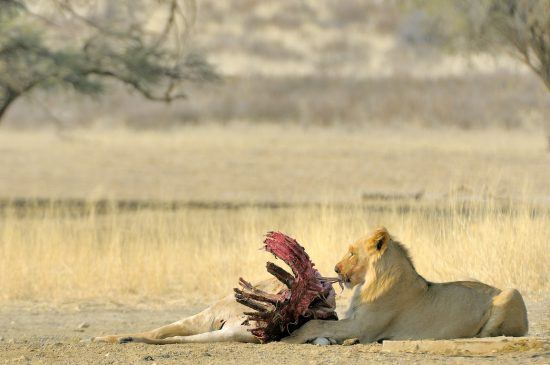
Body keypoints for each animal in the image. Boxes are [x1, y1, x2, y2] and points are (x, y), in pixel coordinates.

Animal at [94, 228, 532, 344]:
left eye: (351, 252)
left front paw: (294, 335)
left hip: (512, 292)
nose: (335, 268)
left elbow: (320, 324)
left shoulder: (361, 324)